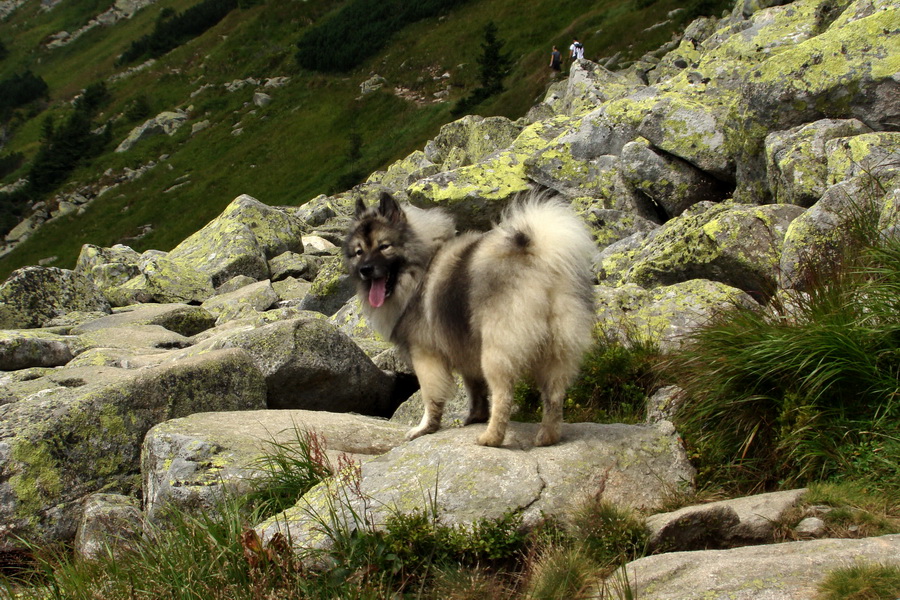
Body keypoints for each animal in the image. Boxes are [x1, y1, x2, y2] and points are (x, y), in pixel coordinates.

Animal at [346, 192, 596, 446]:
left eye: (384, 246)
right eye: (359, 252)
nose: (365, 269)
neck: (421, 268)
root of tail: (541, 260)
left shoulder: (425, 354)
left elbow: (431, 395)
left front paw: (424, 428)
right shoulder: (464, 347)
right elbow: (475, 388)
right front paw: (475, 417)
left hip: (497, 349)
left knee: (504, 395)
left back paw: (491, 438)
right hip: (557, 350)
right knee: (554, 396)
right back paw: (547, 436)